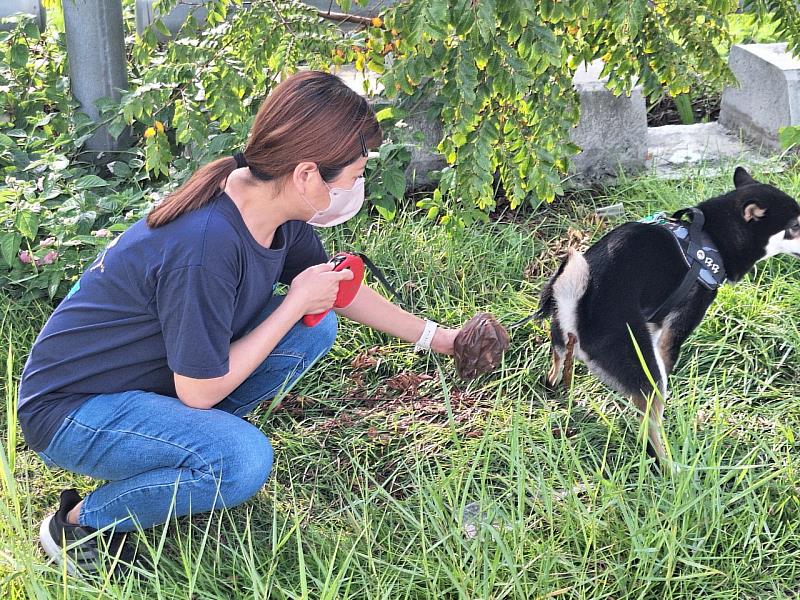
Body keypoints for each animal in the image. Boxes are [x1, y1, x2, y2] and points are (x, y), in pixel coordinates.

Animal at [536, 169, 800, 460]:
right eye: (795, 226)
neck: (710, 239)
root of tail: (579, 312)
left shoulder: (654, 323)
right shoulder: (676, 329)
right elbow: (667, 361)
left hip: (561, 340)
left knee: (554, 368)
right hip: (645, 372)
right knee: (648, 429)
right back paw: (666, 462)